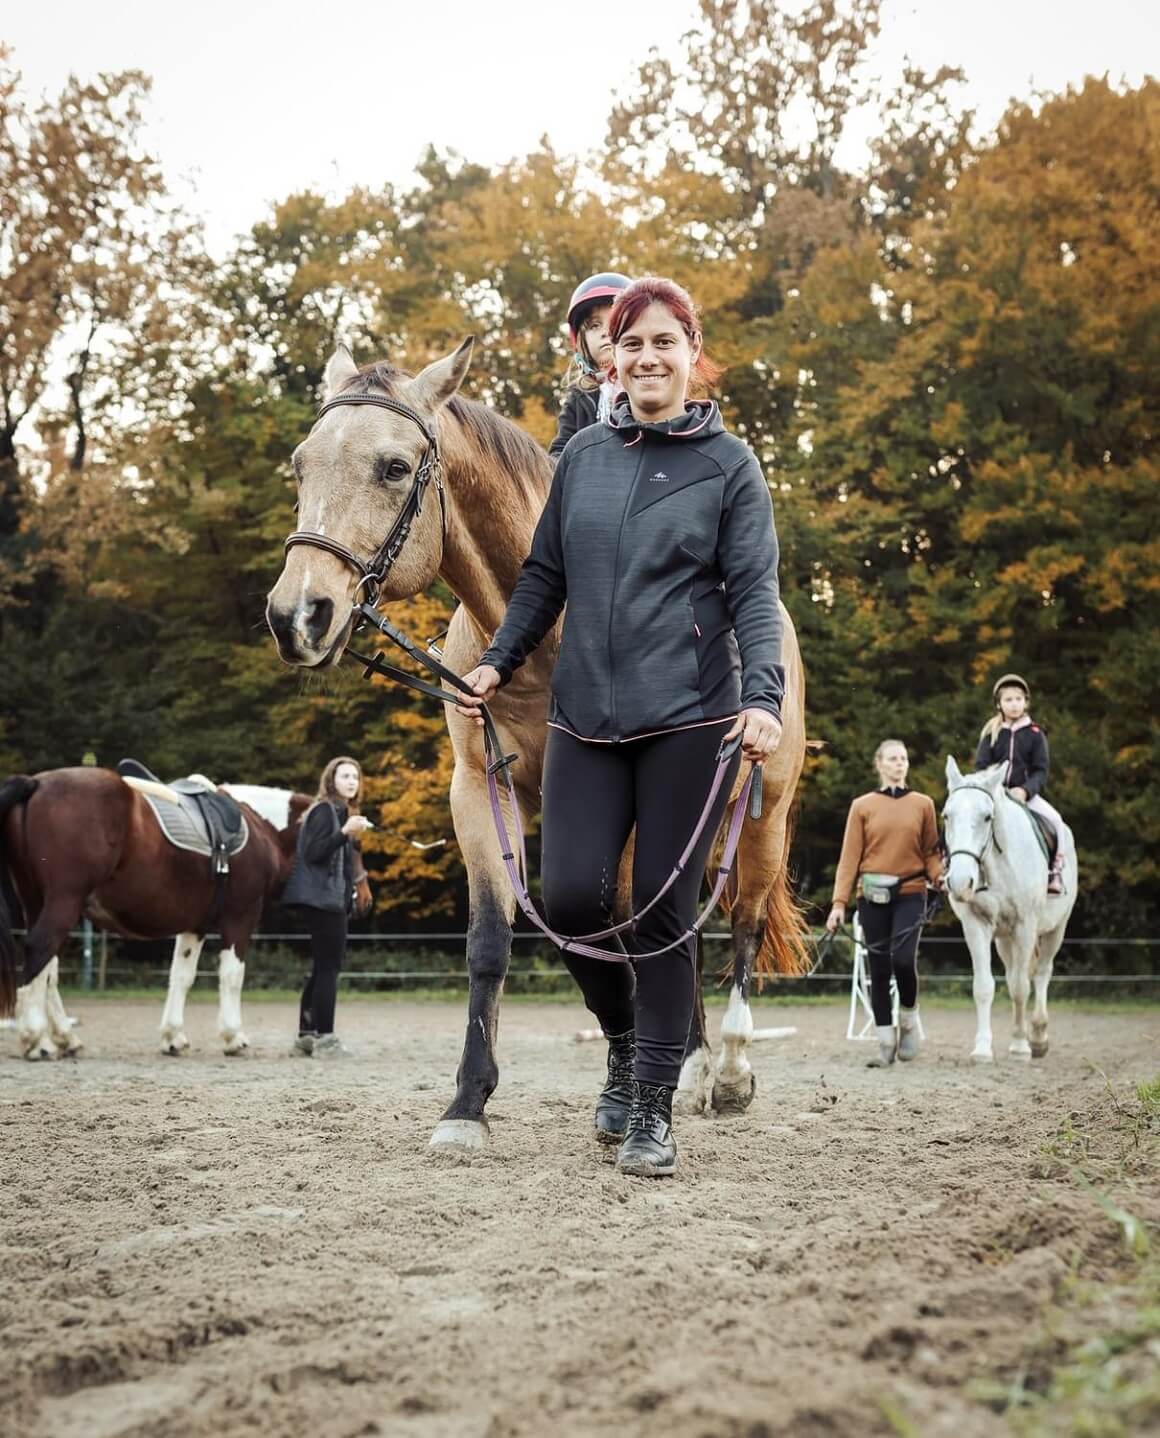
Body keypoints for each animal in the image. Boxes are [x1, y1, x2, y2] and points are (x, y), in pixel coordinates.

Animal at [0, 776, 317, 1058]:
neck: (261, 828)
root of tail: (36, 783)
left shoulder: (195, 926)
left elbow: (181, 975)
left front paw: (172, 1036)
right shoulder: (241, 917)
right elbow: (232, 975)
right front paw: (233, 1036)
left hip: (37, 903)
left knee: (48, 968)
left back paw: (66, 1038)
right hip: (63, 902)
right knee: (39, 951)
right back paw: (36, 1040)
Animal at [267, 342, 810, 1150]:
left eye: (394, 467)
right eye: (301, 466)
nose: (297, 615)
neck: (542, 637)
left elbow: (635, 936)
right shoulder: (479, 790)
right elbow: (496, 942)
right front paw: (468, 1104)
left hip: (762, 812)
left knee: (736, 925)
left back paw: (727, 1071)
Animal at [942, 759, 1080, 1064]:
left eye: (987, 817)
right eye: (946, 816)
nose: (960, 883)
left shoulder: (1025, 926)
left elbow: (1020, 987)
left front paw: (1020, 1046)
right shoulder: (976, 925)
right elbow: (984, 987)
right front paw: (982, 1049)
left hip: (1056, 929)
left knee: (1041, 973)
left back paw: (1038, 1037)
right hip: (1004, 939)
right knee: (1013, 972)